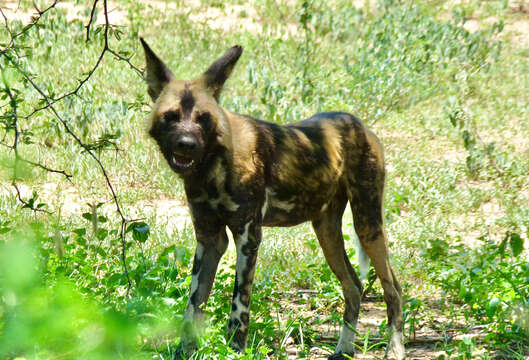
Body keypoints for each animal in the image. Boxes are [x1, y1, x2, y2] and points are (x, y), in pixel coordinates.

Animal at [140, 37, 404, 360]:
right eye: (171, 117)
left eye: (203, 119)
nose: (186, 144)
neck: (211, 169)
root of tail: (360, 124)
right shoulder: (209, 239)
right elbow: (193, 304)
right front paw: (184, 351)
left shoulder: (248, 237)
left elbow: (239, 306)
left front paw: (235, 349)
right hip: (327, 233)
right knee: (354, 286)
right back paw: (344, 349)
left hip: (367, 225)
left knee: (393, 290)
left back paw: (395, 349)